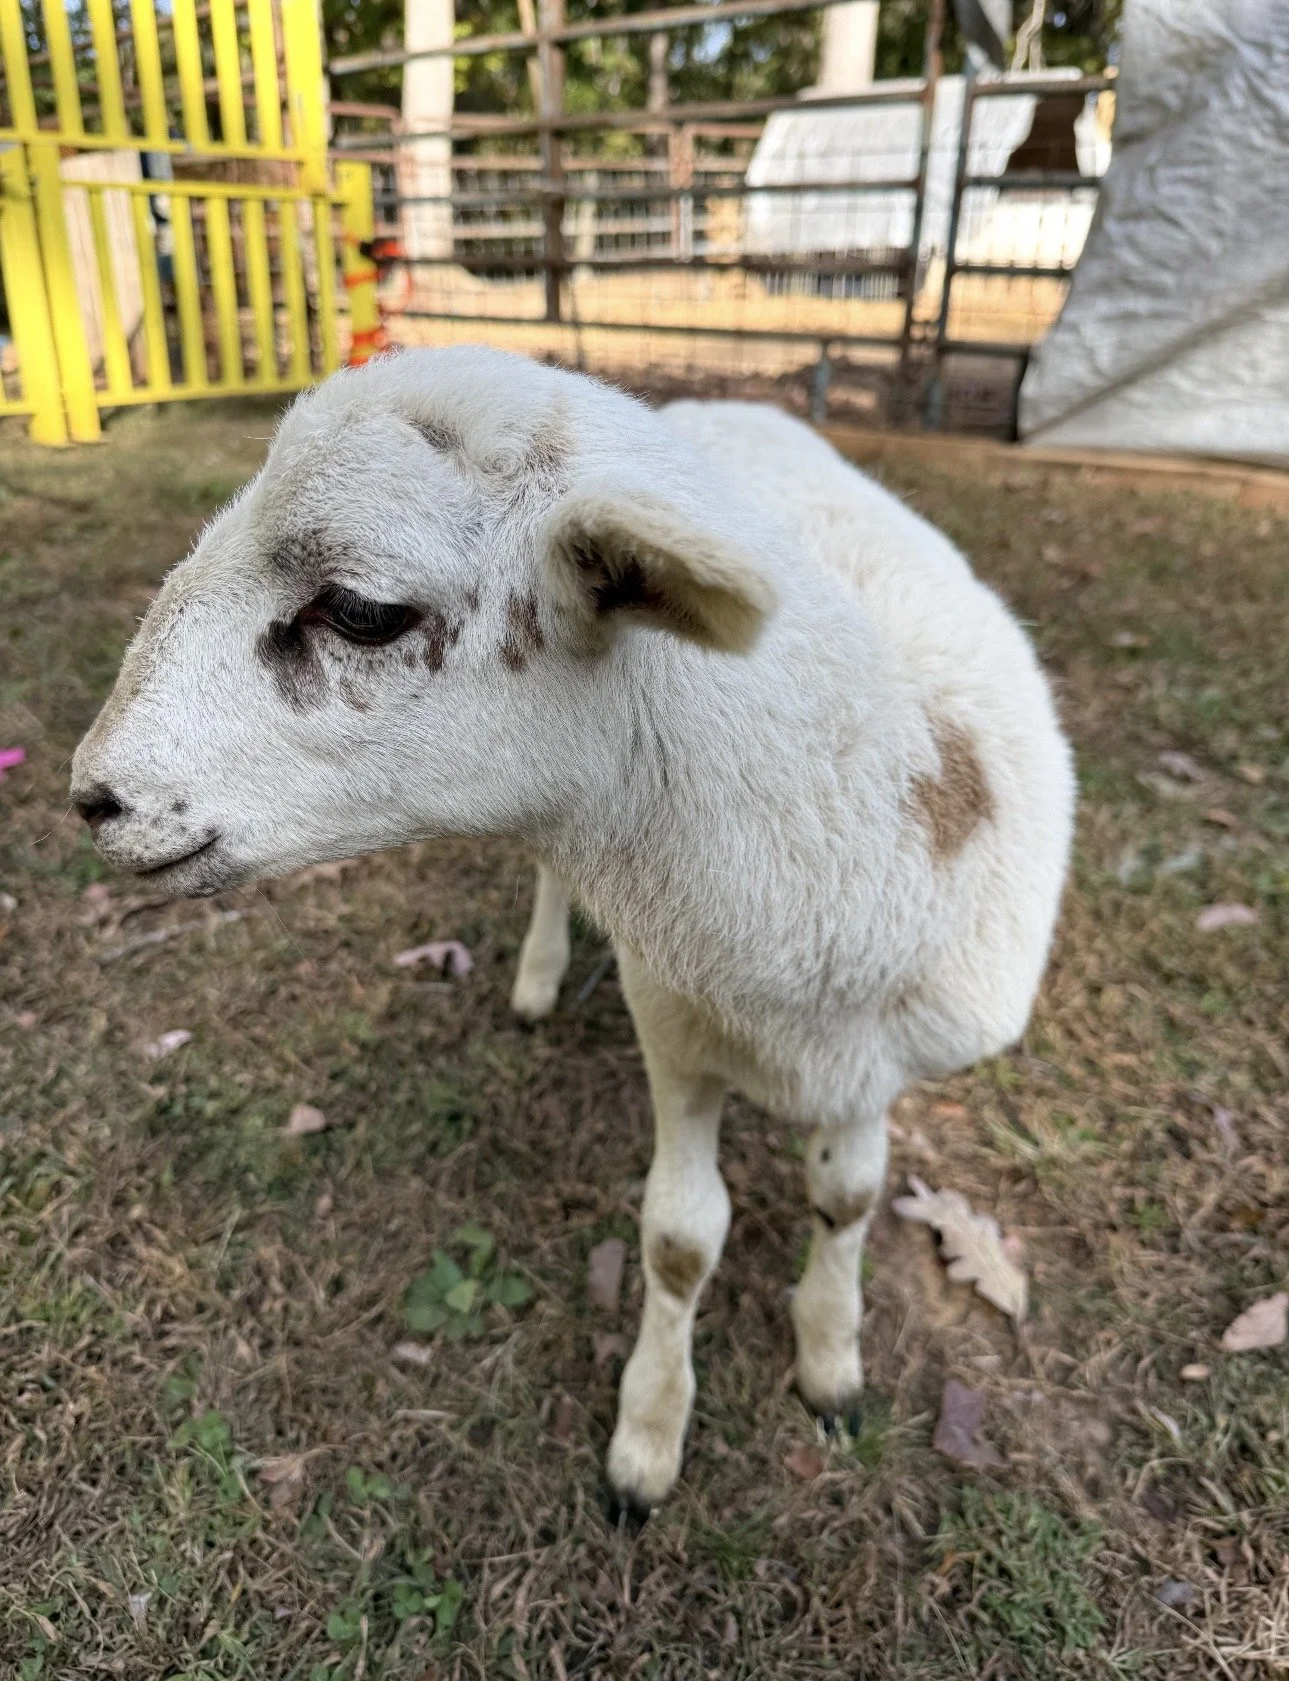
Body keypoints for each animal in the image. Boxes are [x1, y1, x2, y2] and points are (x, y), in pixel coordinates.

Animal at [71, 345, 1075, 1514]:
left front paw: (830, 1361)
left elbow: (849, 1198)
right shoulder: (674, 1022)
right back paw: (539, 976)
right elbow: (681, 1239)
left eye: (360, 609)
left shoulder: (873, 1061)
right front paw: (649, 1433)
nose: (93, 796)